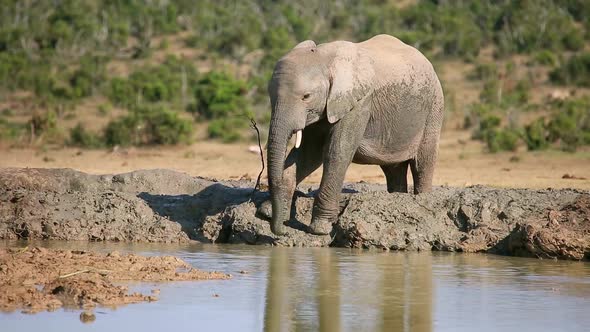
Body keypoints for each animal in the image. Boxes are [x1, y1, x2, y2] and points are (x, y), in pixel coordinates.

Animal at [262, 34, 446, 236]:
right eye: (270, 95)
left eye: (306, 96)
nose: (282, 231)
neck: (325, 57)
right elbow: (308, 155)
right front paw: (266, 212)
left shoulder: (359, 102)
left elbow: (337, 153)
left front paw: (320, 228)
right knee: (394, 169)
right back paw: (398, 196)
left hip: (434, 105)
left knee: (423, 162)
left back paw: (422, 199)